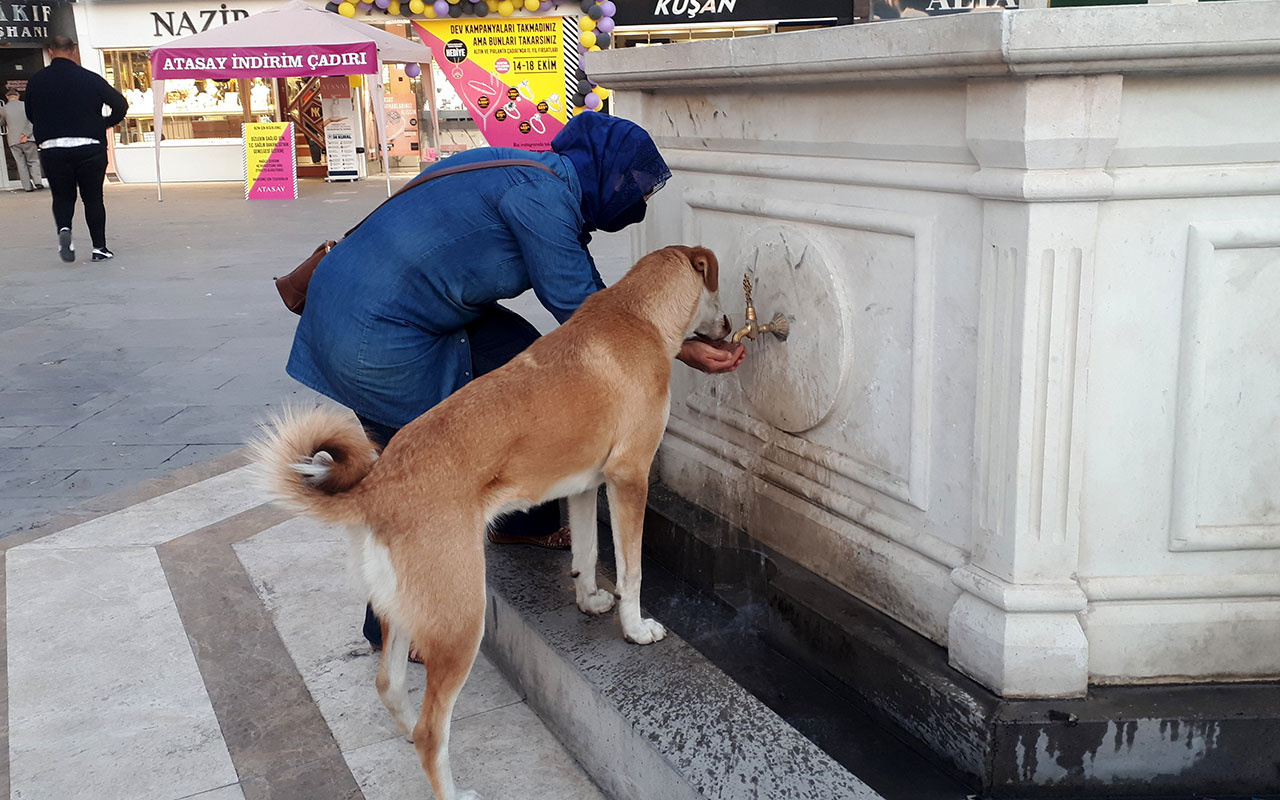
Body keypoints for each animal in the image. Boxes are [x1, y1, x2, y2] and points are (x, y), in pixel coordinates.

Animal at [249, 244, 732, 798]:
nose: (730, 326)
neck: (638, 315)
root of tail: (377, 487)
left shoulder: (585, 485)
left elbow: (587, 551)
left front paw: (588, 599)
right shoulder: (629, 477)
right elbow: (631, 571)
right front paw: (634, 629)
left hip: (406, 608)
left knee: (390, 687)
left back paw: (404, 727)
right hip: (463, 618)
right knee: (432, 731)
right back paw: (452, 787)